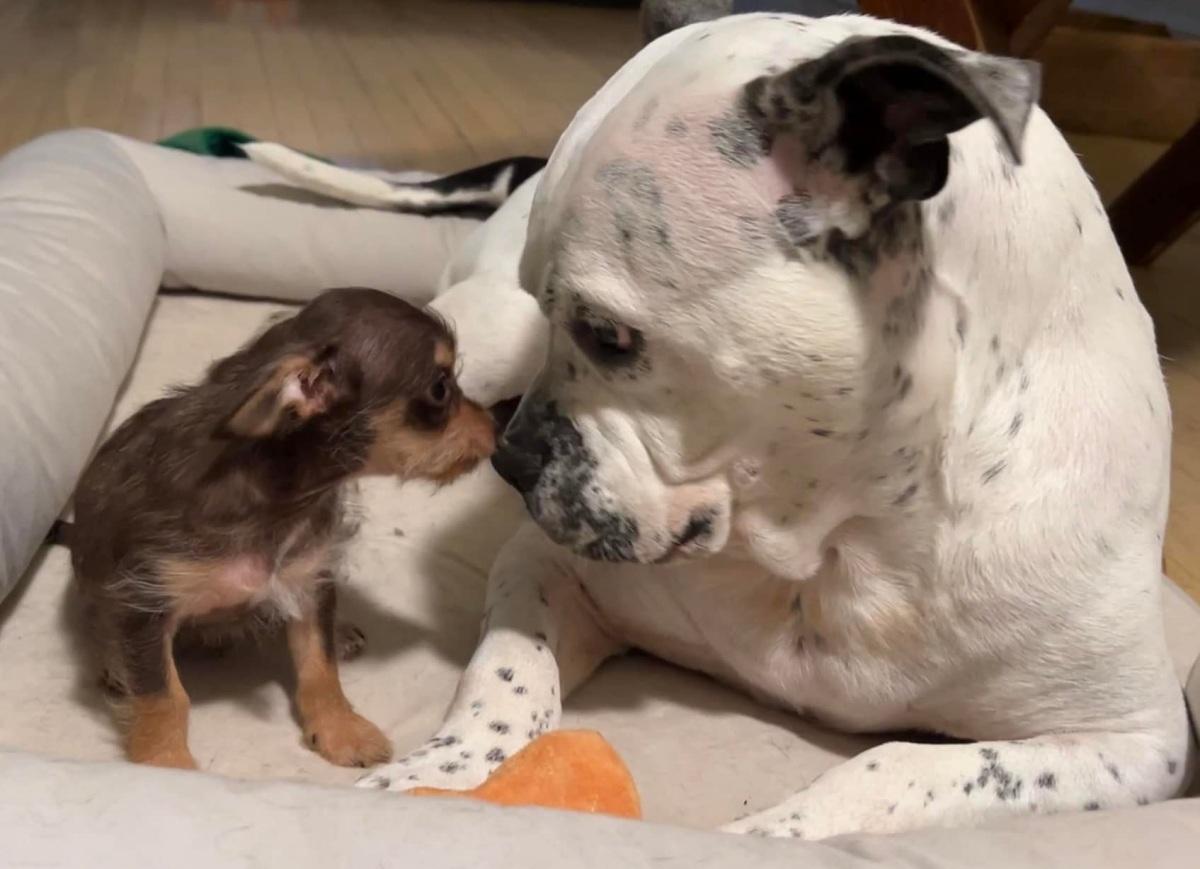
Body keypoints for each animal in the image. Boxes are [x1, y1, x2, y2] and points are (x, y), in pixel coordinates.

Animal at [70, 288, 494, 768]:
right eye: (440, 389)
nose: (496, 425)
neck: (283, 494)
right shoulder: (143, 602)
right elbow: (165, 696)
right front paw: (166, 763)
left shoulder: (308, 578)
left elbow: (319, 666)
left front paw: (340, 729)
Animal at [352, 13, 1190, 840]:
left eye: (608, 335)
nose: (513, 462)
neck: (842, 532)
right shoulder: (546, 567)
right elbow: (506, 675)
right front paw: (439, 770)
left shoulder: (1133, 743)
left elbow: (896, 766)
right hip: (483, 337)